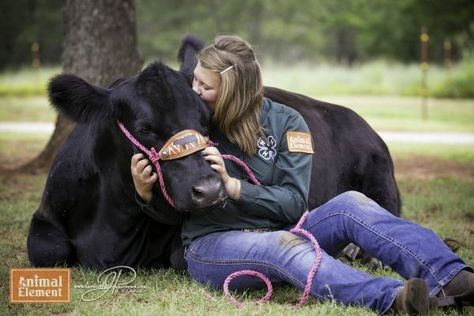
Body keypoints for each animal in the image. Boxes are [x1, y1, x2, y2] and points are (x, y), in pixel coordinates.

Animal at [26, 62, 226, 270]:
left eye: (206, 119)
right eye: (145, 129)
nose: (209, 189)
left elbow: (181, 257)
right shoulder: (46, 213)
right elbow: (50, 252)